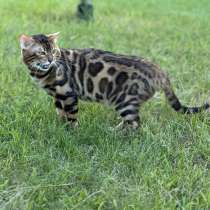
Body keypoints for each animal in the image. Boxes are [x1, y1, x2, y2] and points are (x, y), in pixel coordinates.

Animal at [19, 32, 208, 130]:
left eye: (54, 51)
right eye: (42, 52)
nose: (51, 60)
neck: (41, 73)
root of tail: (159, 70)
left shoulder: (68, 93)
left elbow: (71, 116)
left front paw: (71, 131)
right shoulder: (58, 96)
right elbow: (60, 113)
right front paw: (59, 127)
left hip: (124, 101)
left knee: (135, 124)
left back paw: (116, 134)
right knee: (131, 122)